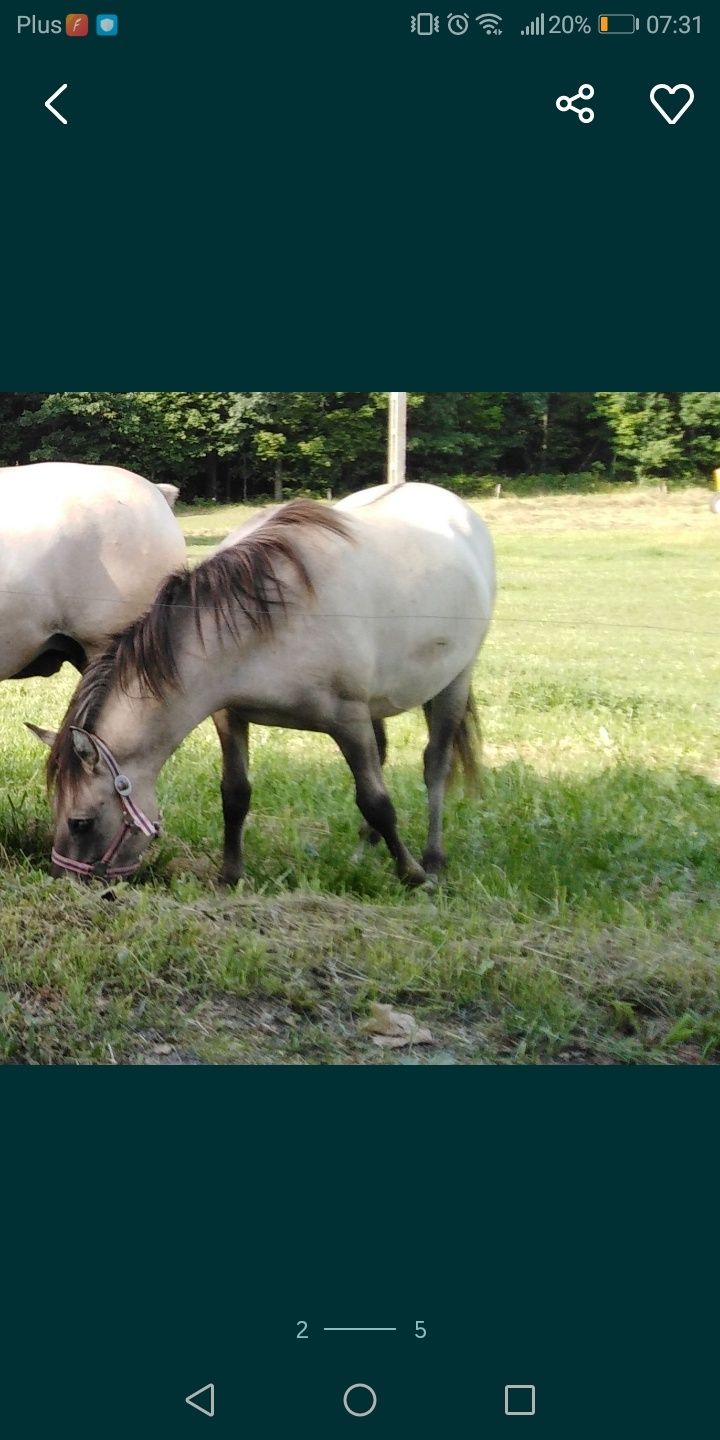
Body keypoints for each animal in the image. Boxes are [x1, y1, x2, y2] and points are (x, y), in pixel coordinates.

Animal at [29, 483, 495, 887]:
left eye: (80, 822)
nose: (65, 881)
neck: (266, 620)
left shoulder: (347, 719)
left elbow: (377, 801)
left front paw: (411, 874)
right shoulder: (231, 715)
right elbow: (235, 795)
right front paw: (229, 875)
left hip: (455, 681)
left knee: (435, 766)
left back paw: (432, 859)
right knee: (383, 758)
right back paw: (363, 850)